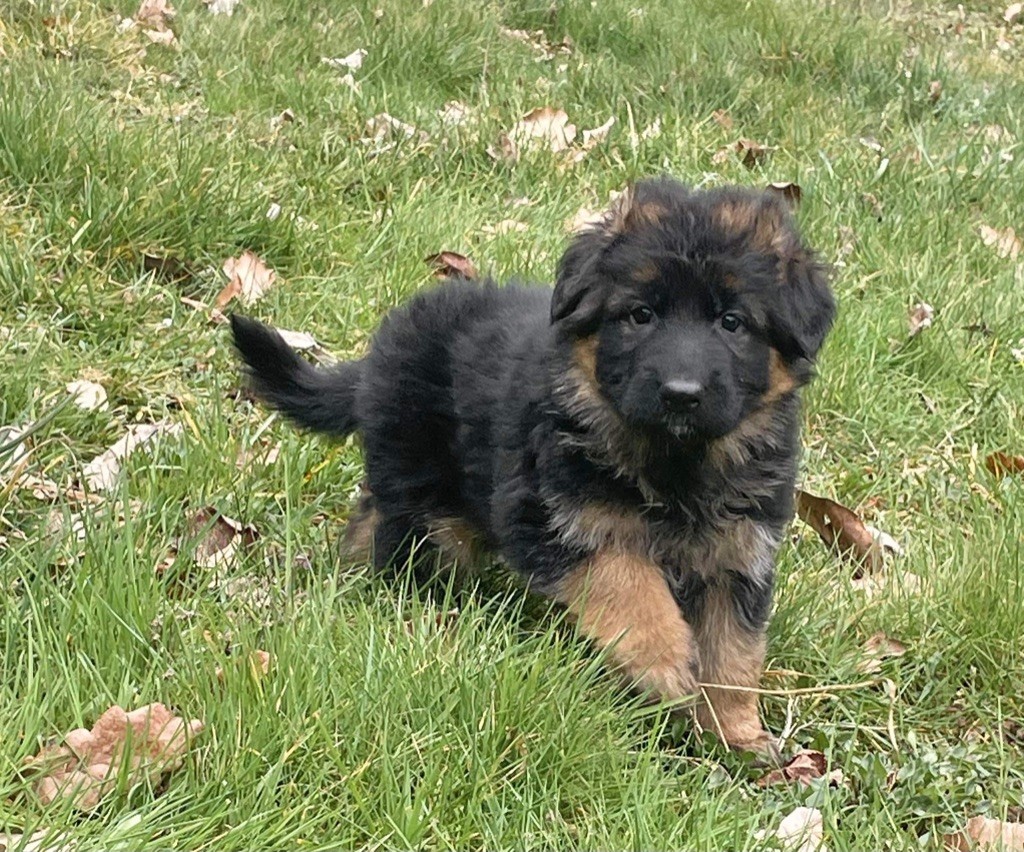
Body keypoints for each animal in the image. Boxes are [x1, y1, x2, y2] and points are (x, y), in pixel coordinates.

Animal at [230, 175, 831, 757]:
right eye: (640, 315)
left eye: (732, 322)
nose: (681, 394)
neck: (674, 466)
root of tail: (385, 344)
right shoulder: (554, 518)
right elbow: (630, 583)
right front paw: (665, 665)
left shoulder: (739, 555)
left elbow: (734, 654)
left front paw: (736, 735)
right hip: (427, 493)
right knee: (404, 535)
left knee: (373, 515)